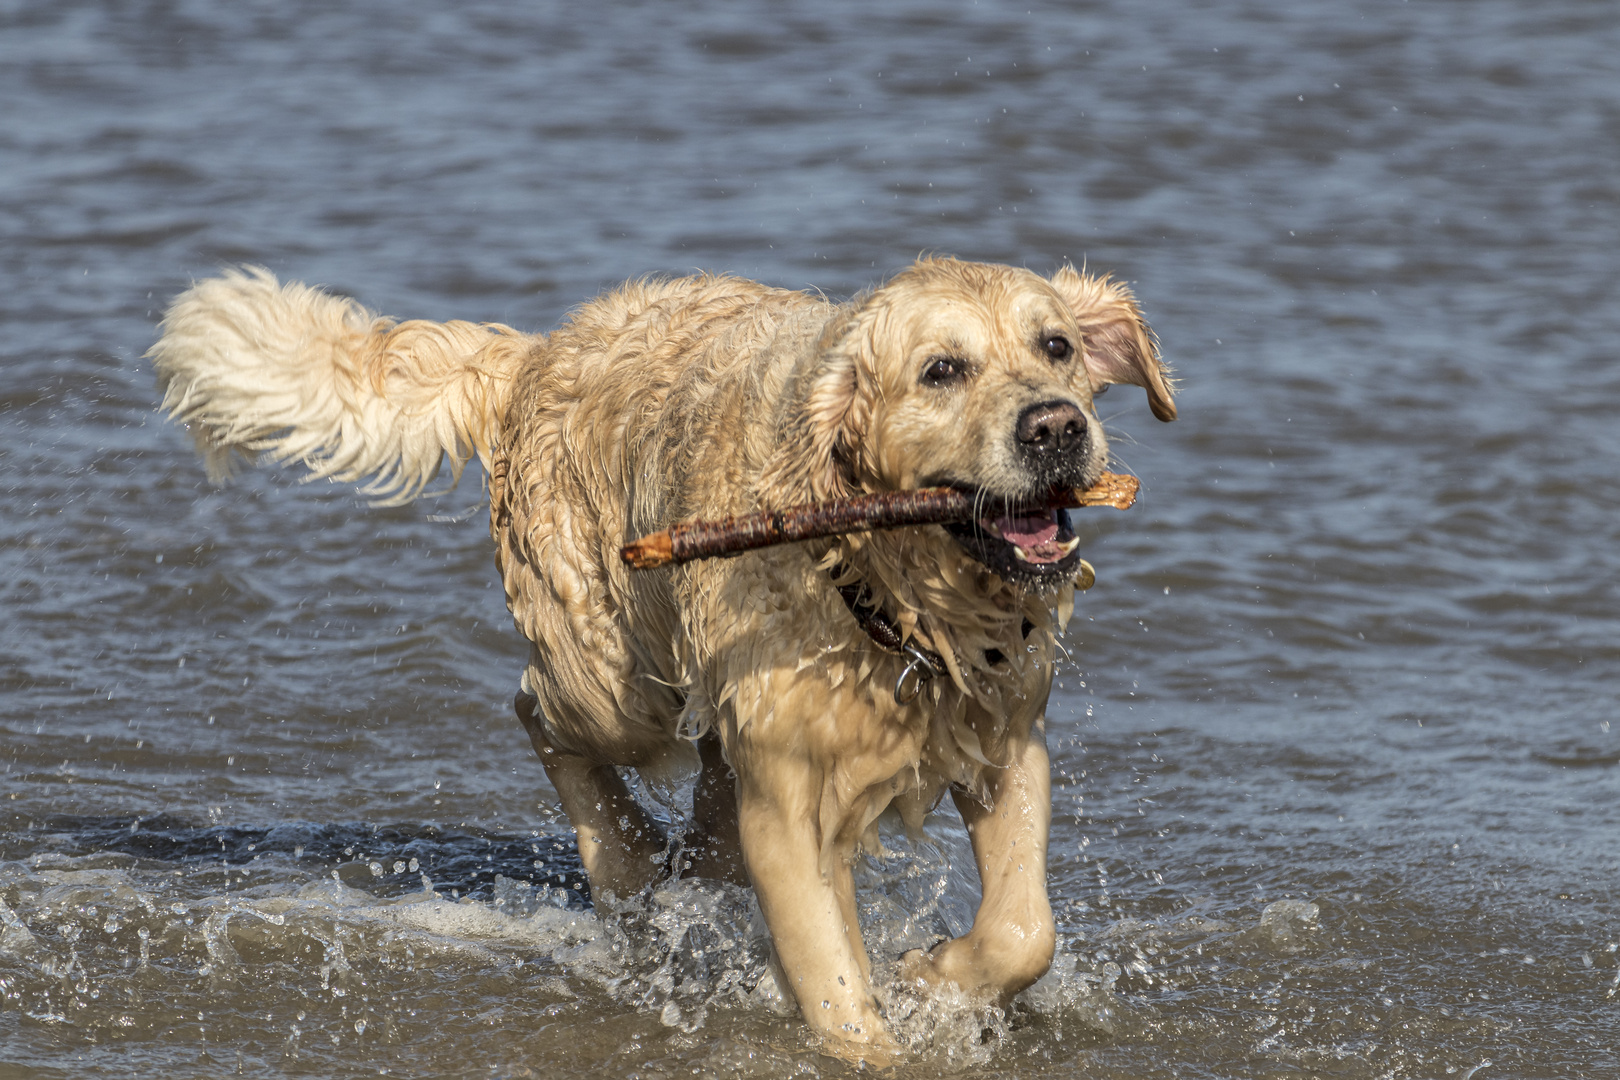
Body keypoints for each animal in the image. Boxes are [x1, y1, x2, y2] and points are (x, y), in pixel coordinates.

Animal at [145, 257, 1172, 1062]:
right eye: (941, 371)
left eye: (1056, 346)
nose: (1055, 427)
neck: (882, 593)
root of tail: (537, 351)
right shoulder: (787, 807)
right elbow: (837, 991)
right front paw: (890, 1026)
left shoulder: (1005, 739)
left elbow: (1025, 929)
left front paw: (937, 978)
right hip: (614, 682)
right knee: (538, 712)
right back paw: (625, 860)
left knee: (699, 821)